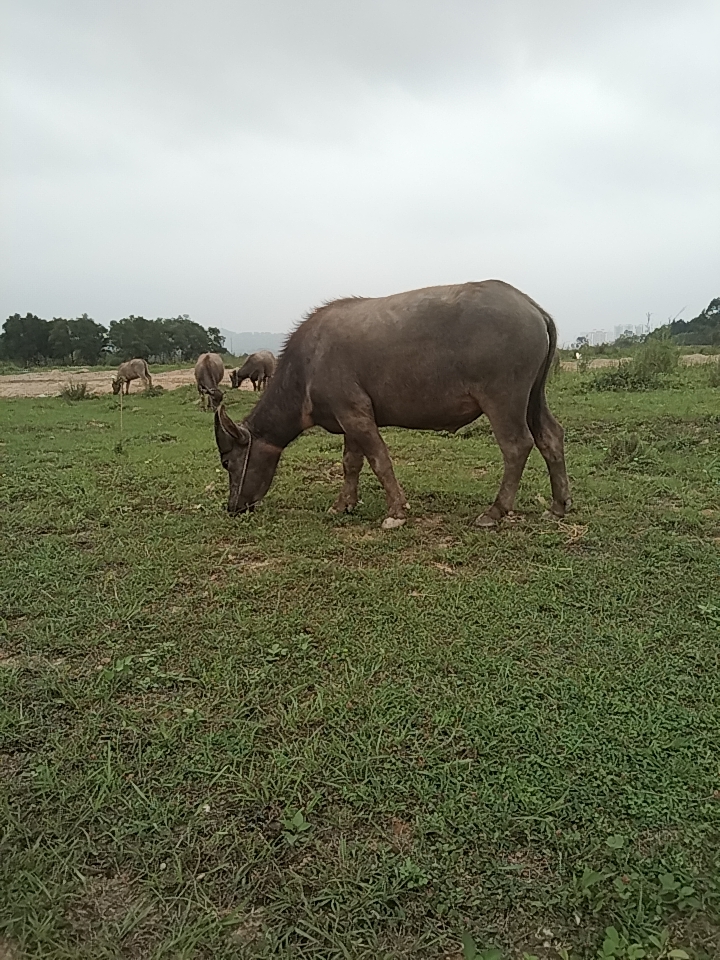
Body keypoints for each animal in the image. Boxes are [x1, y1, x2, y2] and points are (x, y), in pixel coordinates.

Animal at [211, 282, 572, 528]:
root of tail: (532, 307)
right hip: (533, 397)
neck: (308, 365)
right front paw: (343, 504)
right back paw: (558, 505)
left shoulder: (356, 415)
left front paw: (396, 512)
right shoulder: (349, 421)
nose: (232, 507)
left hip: (503, 399)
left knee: (517, 445)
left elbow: (380, 460)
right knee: (550, 436)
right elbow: (351, 463)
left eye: (228, 462)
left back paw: (495, 511)